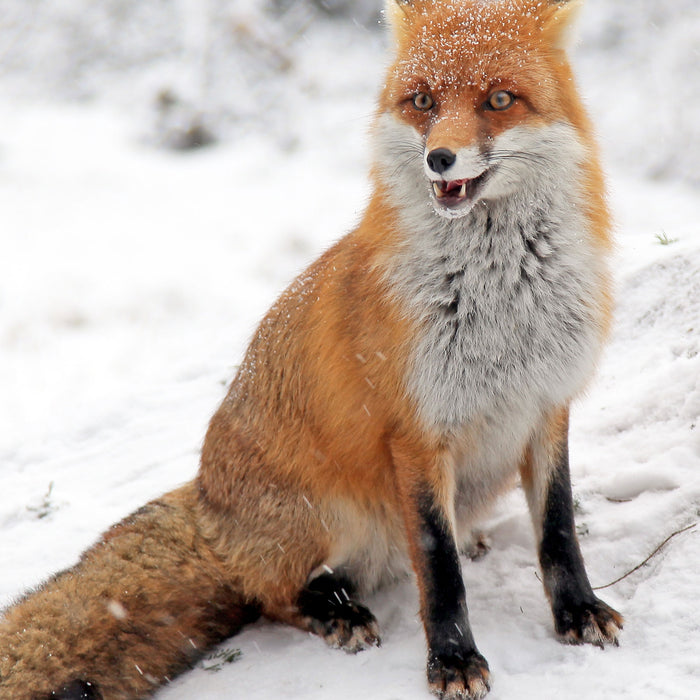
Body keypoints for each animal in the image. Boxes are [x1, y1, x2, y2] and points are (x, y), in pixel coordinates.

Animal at [0, 1, 624, 700]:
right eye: (423, 101)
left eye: (498, 100)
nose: (440, 158)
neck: (500, 303)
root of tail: (207, 503)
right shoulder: (415, 434)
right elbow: (439, 568)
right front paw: (453, 660)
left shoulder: (547, 404)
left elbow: (558, 531)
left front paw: (577, 612)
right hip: (329, 515)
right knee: (270, 594)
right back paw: (334, 612)